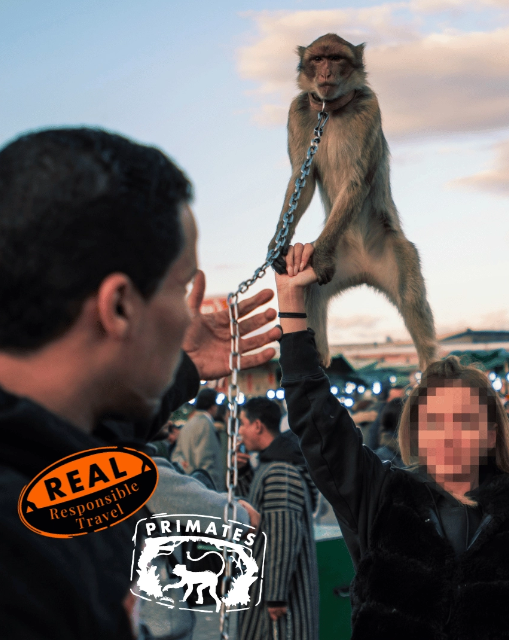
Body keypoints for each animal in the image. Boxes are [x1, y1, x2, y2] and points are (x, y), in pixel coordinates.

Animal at [268, 33, 438, 370]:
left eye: (336, 58)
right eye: (318, 59)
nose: (325, 72)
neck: (329, 111)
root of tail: (364, 269)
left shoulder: (370, 108)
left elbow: (356, 180)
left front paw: (318, 257)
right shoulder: (297, 112)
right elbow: (300, 181)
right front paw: (276, 244)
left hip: (391, 252)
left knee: (410, 297)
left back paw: (432, 364)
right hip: (341, 258)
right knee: (312, 293)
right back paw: (319, 355)